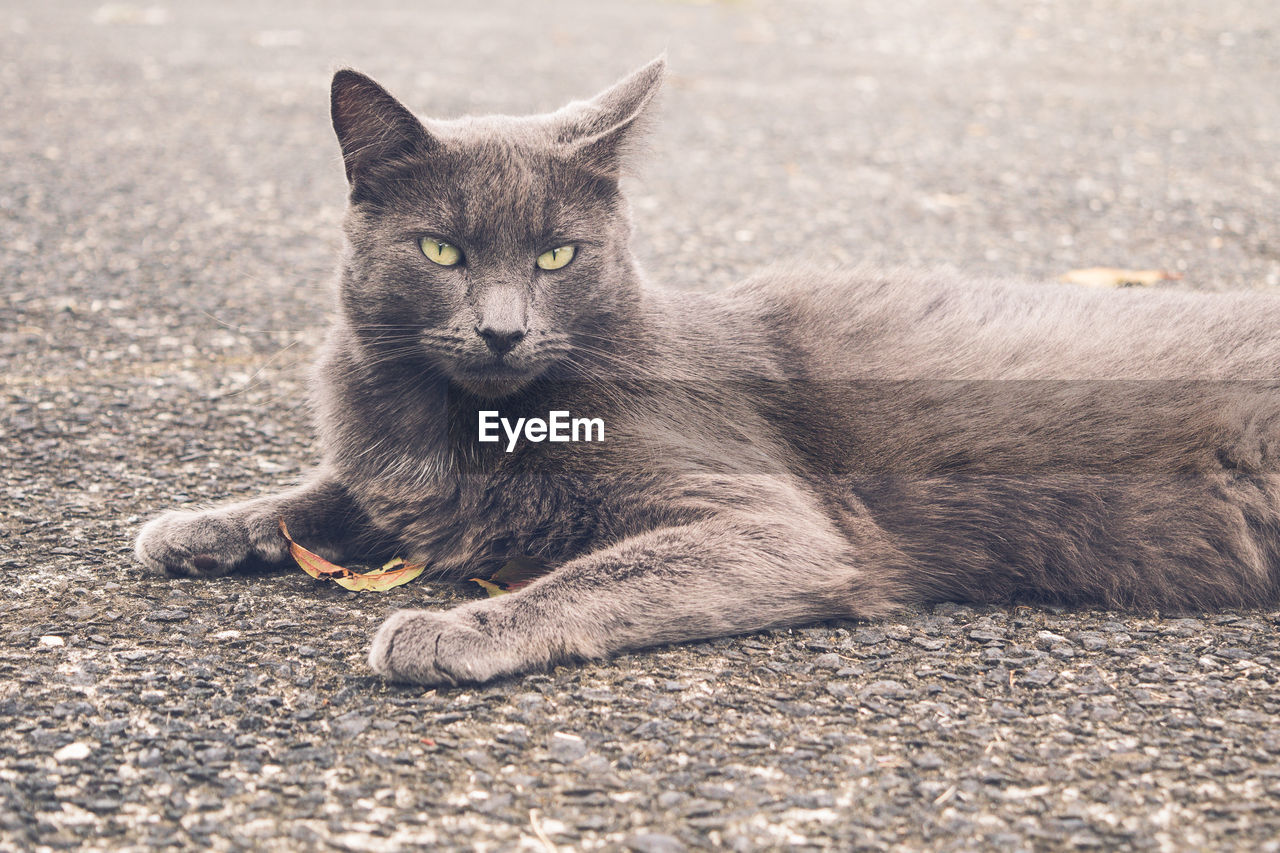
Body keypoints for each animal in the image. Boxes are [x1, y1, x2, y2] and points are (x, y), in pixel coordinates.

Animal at [135, 59, 1280, 686]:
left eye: (558, 256)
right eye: (441, 251)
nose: (502, 333)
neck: (462, 416)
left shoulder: (772, 520)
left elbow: (595, 572)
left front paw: (448, 627)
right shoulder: (383, 466)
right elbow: (321, 495)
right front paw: (195, 525)